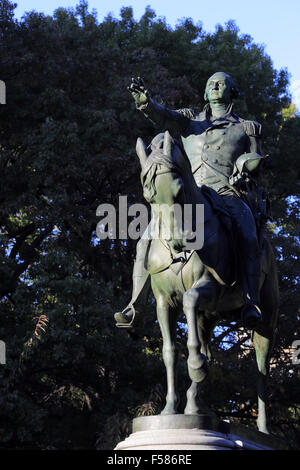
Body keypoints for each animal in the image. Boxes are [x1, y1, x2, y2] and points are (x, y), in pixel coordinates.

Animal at [135, 129, 280, 434]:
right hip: (208, 318)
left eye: (178, 189)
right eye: (149, 194)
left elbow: (190, 299)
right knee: (208, 350)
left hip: (265, 321)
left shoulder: (212, 288)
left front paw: (195, 366)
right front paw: (169, 409)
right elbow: (169, 351)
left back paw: (263, 429)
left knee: (262, 370)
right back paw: (194, 405)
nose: (179, 242)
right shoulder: (163, 303)